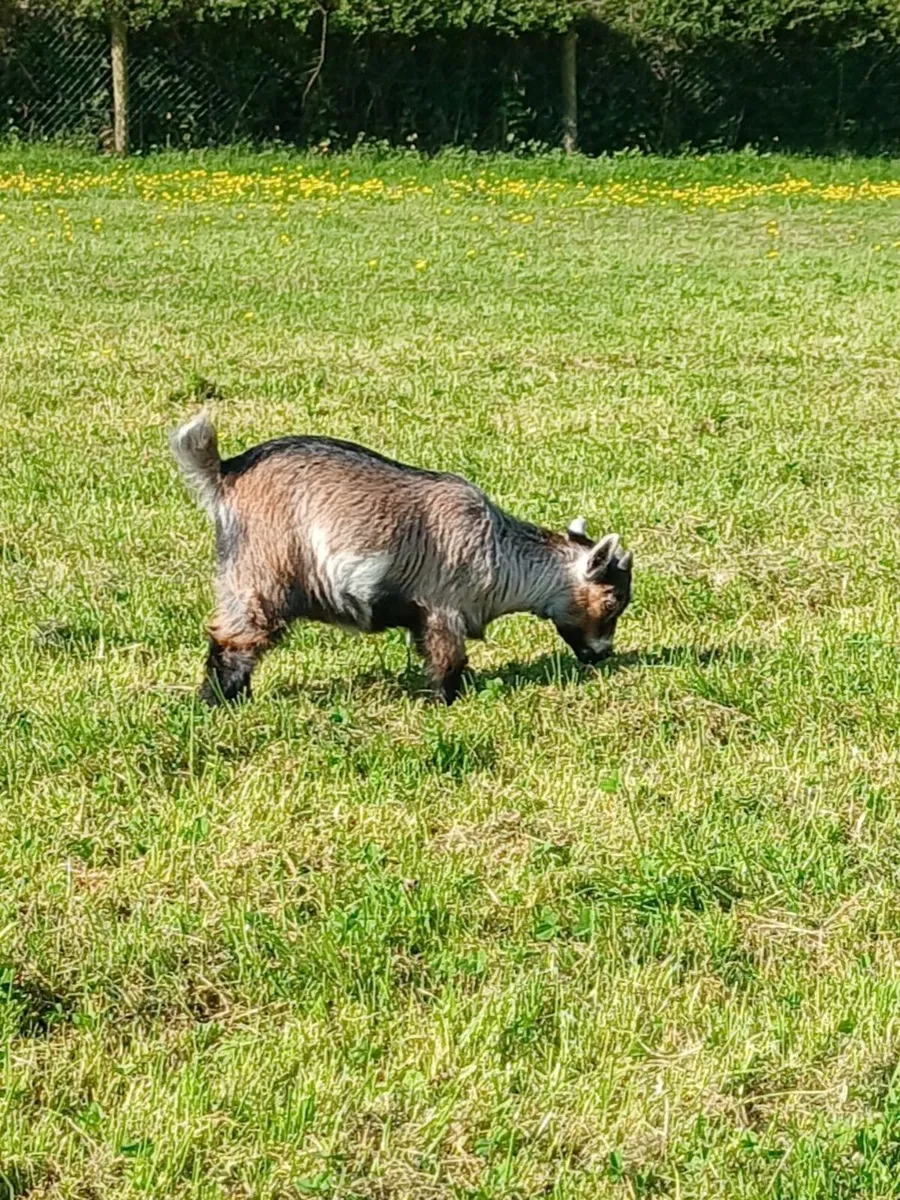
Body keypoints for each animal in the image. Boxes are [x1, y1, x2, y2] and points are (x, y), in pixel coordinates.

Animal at [170, 412, 633, 704]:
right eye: (612, 602)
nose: (602, 654)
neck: (500, 552)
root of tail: (226, 472)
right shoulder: (445, 606)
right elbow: (448, 658)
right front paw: (449, 699)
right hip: (261, 573)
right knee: (237, 639)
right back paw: (220, 701)